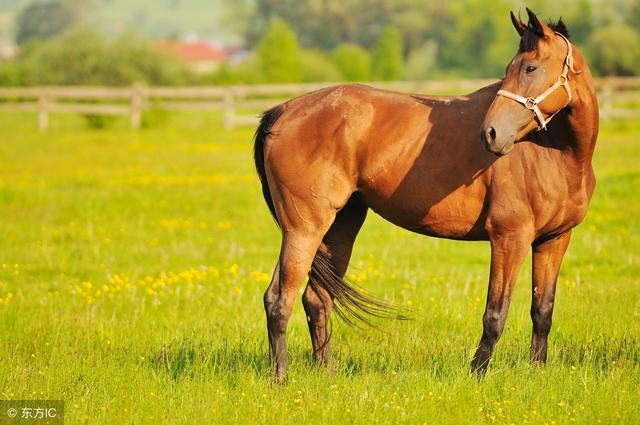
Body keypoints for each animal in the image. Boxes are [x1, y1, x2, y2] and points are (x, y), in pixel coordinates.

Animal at [252, 8, 596, 380]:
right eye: (510, 68)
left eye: (530, 68)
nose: (490, 134)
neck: (555, 151)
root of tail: (281, 112)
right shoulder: (509, 238)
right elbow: (495, 314)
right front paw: (477, 374)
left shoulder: (554, 240)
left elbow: (542, 309)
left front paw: (537, 371)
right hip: (303, 229)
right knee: (279, 299)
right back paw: (280, 379)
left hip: (340, 226)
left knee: (316, 299)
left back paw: (326, 373)